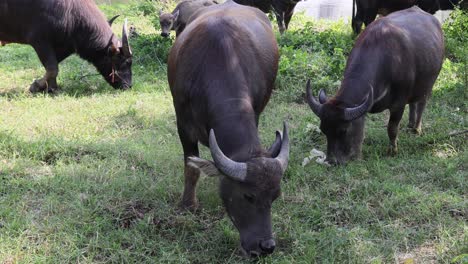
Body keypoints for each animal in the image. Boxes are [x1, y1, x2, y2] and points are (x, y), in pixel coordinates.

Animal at [0, 0, 133, 93]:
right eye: (124, 62)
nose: (128, 86)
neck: (72, 16)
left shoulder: (66, 46)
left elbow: (52, 66)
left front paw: (52, 88)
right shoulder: (40, 41)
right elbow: (52, 68)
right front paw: (36, 86)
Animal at [168, 0, 288, 256]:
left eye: (275, 196)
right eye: (248, 196)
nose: (266, 247)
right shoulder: (182, 125)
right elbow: (191, 168)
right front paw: (188, 205)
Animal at [308, 7, 444, 164]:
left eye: (343, 131)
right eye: (323, 129)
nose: (332, 161)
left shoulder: (398, 104)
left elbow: (392, 128)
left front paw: (392, 150)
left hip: (429, 84)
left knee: (421, 103)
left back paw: (416, 129)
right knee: (413, 103)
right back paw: (410, 125)